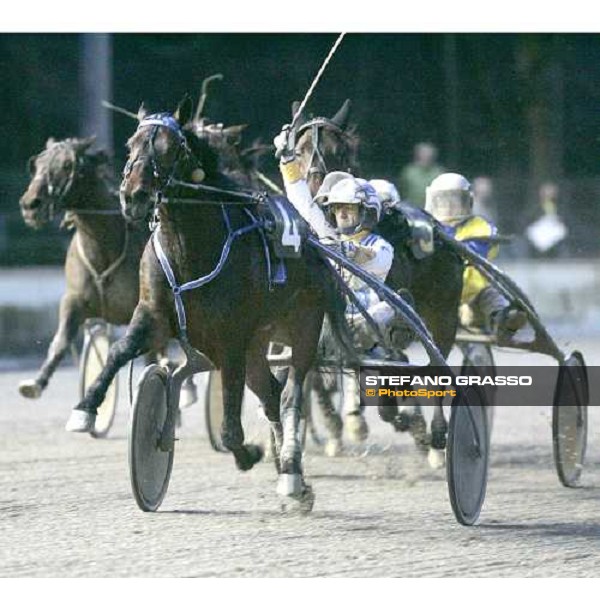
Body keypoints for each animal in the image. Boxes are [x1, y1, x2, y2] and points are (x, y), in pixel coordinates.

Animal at [17, 136, 149, 398]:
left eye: (67, 165)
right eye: (37, 165)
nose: (30, 205)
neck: (103, 248)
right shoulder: (74, 300)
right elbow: (61, 341)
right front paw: (36, 383)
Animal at [65, 98, 352, 510]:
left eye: (170, 148)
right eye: (131, 144)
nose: (133, 195)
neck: (190, 245)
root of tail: (313, 241)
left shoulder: (230, 338)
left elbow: (230, 427)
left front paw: (248, 453)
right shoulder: (154, 315)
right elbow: (120, 351)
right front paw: (86, 410)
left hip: (301, 327)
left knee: (292, 392)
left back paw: (292, 475)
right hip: (257, 343)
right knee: (271, 393)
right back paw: (287, 469)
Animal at [290, 101, 464, 464]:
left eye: (339, 151)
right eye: (299, 152)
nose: (318, 197)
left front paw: (402, 419)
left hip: (443, 314)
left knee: (433, 363)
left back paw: (435, 436)